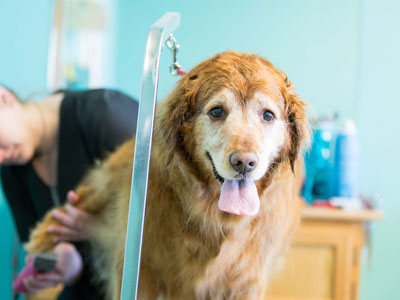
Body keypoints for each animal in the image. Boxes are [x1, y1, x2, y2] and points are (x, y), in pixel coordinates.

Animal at [26, 51, 310, 300]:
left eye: (268, 115)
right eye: (217, 111)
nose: (244, 163)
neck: (211, 215)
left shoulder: (246, 281)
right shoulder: (142, 267)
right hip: (107, 183)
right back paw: (42, 238)